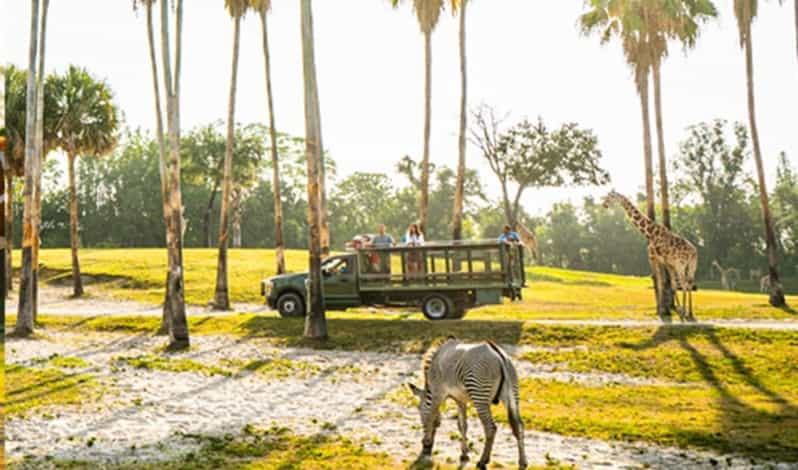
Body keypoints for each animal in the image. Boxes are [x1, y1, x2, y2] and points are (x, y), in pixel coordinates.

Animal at [410, 336, 528, 468]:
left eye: (419, 410)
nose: (425, 449)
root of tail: (497, 353)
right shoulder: (460, 399)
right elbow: (462, 425)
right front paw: (464, 454)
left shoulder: (437, 393)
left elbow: (431, 417)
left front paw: (427, 443)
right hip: (512, 393)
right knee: (519, 425)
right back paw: (522, 462)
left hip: (479, 395)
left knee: (490, 428)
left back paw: (483, 461)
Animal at [608, 191, 700, 324]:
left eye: (609, 197)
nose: (604, 204)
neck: (650, 233)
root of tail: (693, 252)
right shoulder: (666, 262)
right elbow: (668, 284)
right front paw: (667, 310)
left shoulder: (653, 258)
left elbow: (660, 281)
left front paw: (663, 311)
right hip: (691, 266)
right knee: (688, 283)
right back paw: (689, 313)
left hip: (681, 264)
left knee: (684, 284)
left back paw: (684, 312)